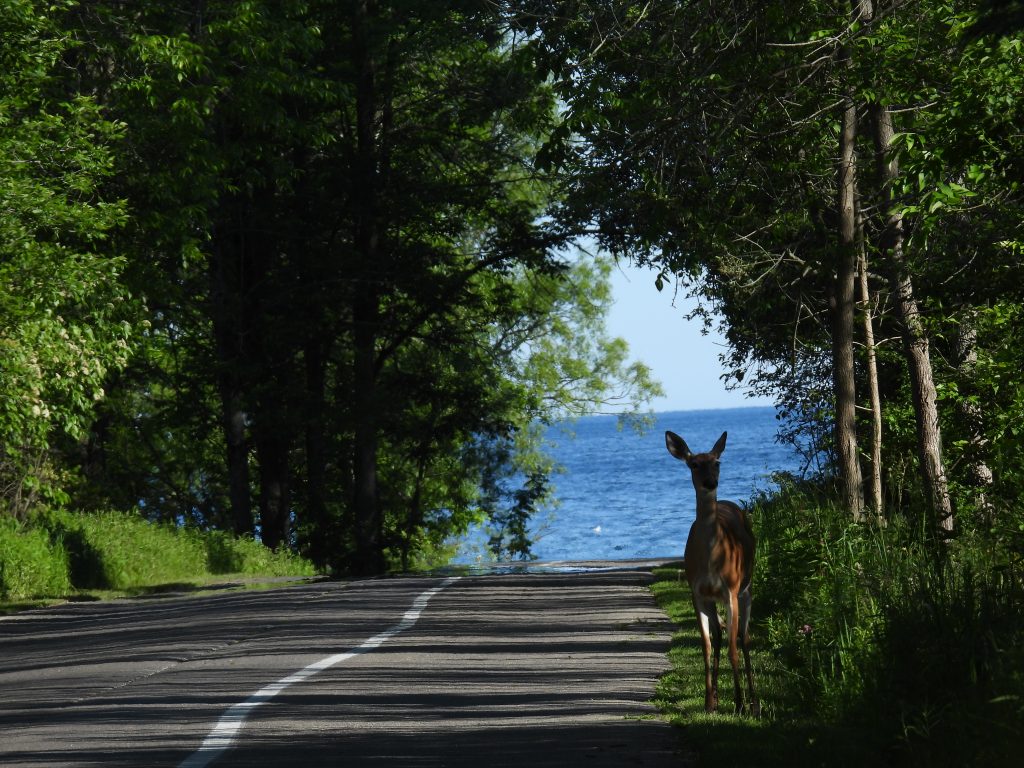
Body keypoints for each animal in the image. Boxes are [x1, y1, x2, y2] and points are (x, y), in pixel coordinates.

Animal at [666, 430, 760, 716]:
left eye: (717, 462)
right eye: (694, 464)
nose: (710, 482)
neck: (710, 559)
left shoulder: (730, 590)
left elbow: (733, 648)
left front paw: (739, 703)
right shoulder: (697, 593)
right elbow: (706, 645)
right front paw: (708, 702)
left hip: (747, 587)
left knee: (744, 638)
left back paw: (754, 702)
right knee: (719, 635)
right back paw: (717, 698)